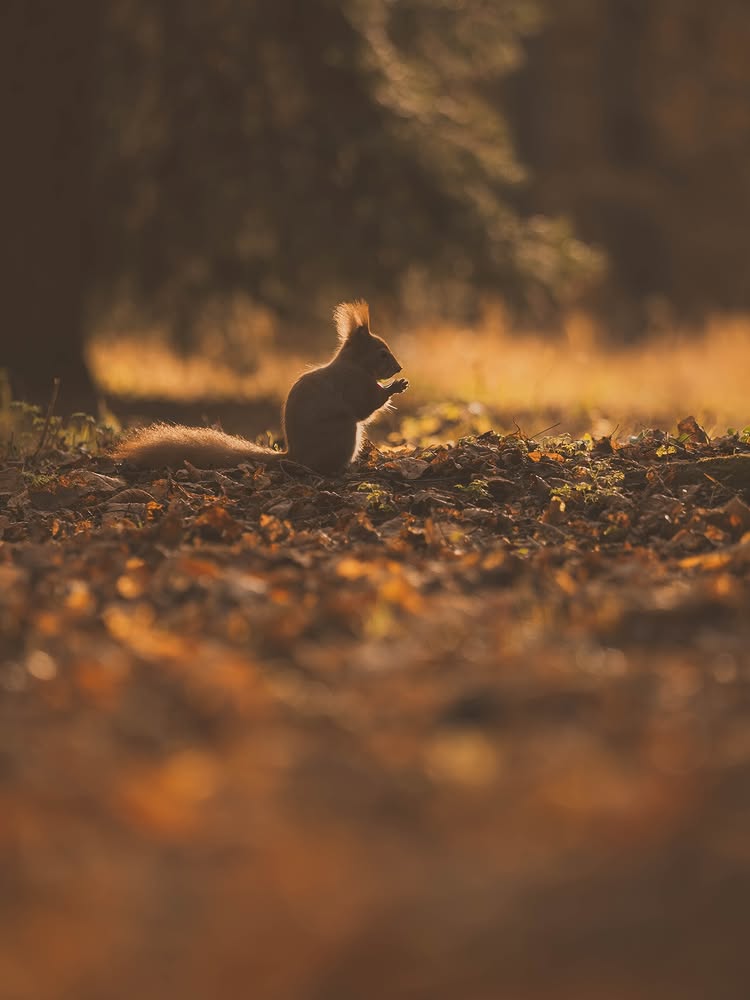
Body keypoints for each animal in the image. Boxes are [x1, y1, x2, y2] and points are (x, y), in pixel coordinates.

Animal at [113, 300, 408, 476]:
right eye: (382, 354)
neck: (354, 364)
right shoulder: (353, 384)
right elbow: (367, 405)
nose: (398, 368)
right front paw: (395, 387)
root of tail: (295, 456)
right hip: (345, 434)